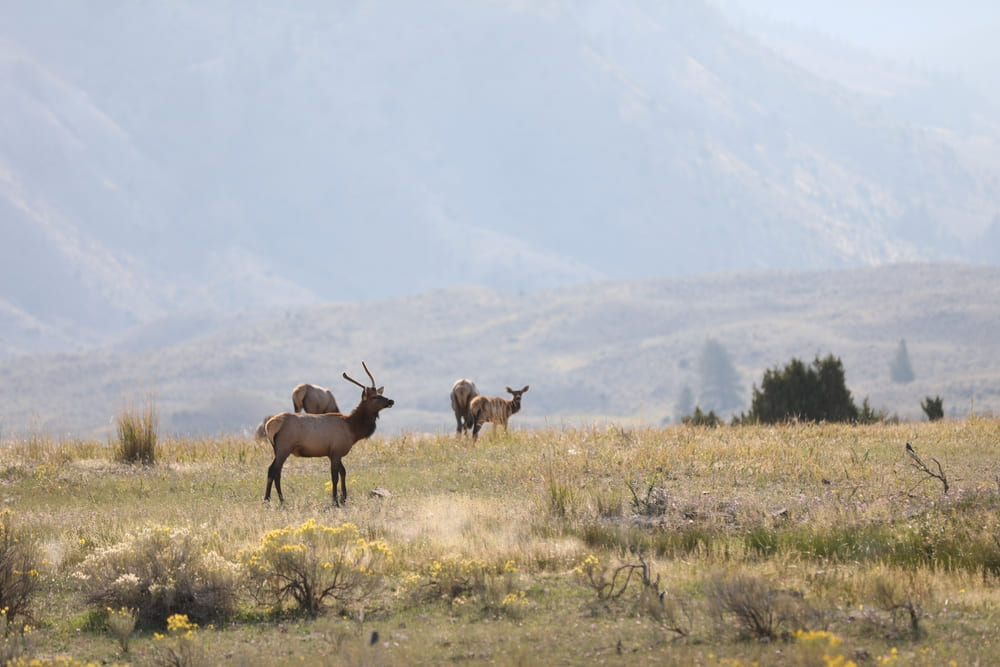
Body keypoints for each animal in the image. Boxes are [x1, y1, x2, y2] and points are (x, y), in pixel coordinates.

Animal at [263, 362, 393, 505]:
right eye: (374, 397)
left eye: (380, 393)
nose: (390, 401)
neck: (352, 429)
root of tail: (269, 424)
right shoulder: (336, 451)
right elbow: (335, 476)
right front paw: (335, 500)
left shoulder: (334, 453)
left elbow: (343, 472)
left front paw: (344, 497)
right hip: (284, 447)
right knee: (273, 470)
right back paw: (270, 500)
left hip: (277, 449)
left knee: (276, 471)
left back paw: (277, 500)